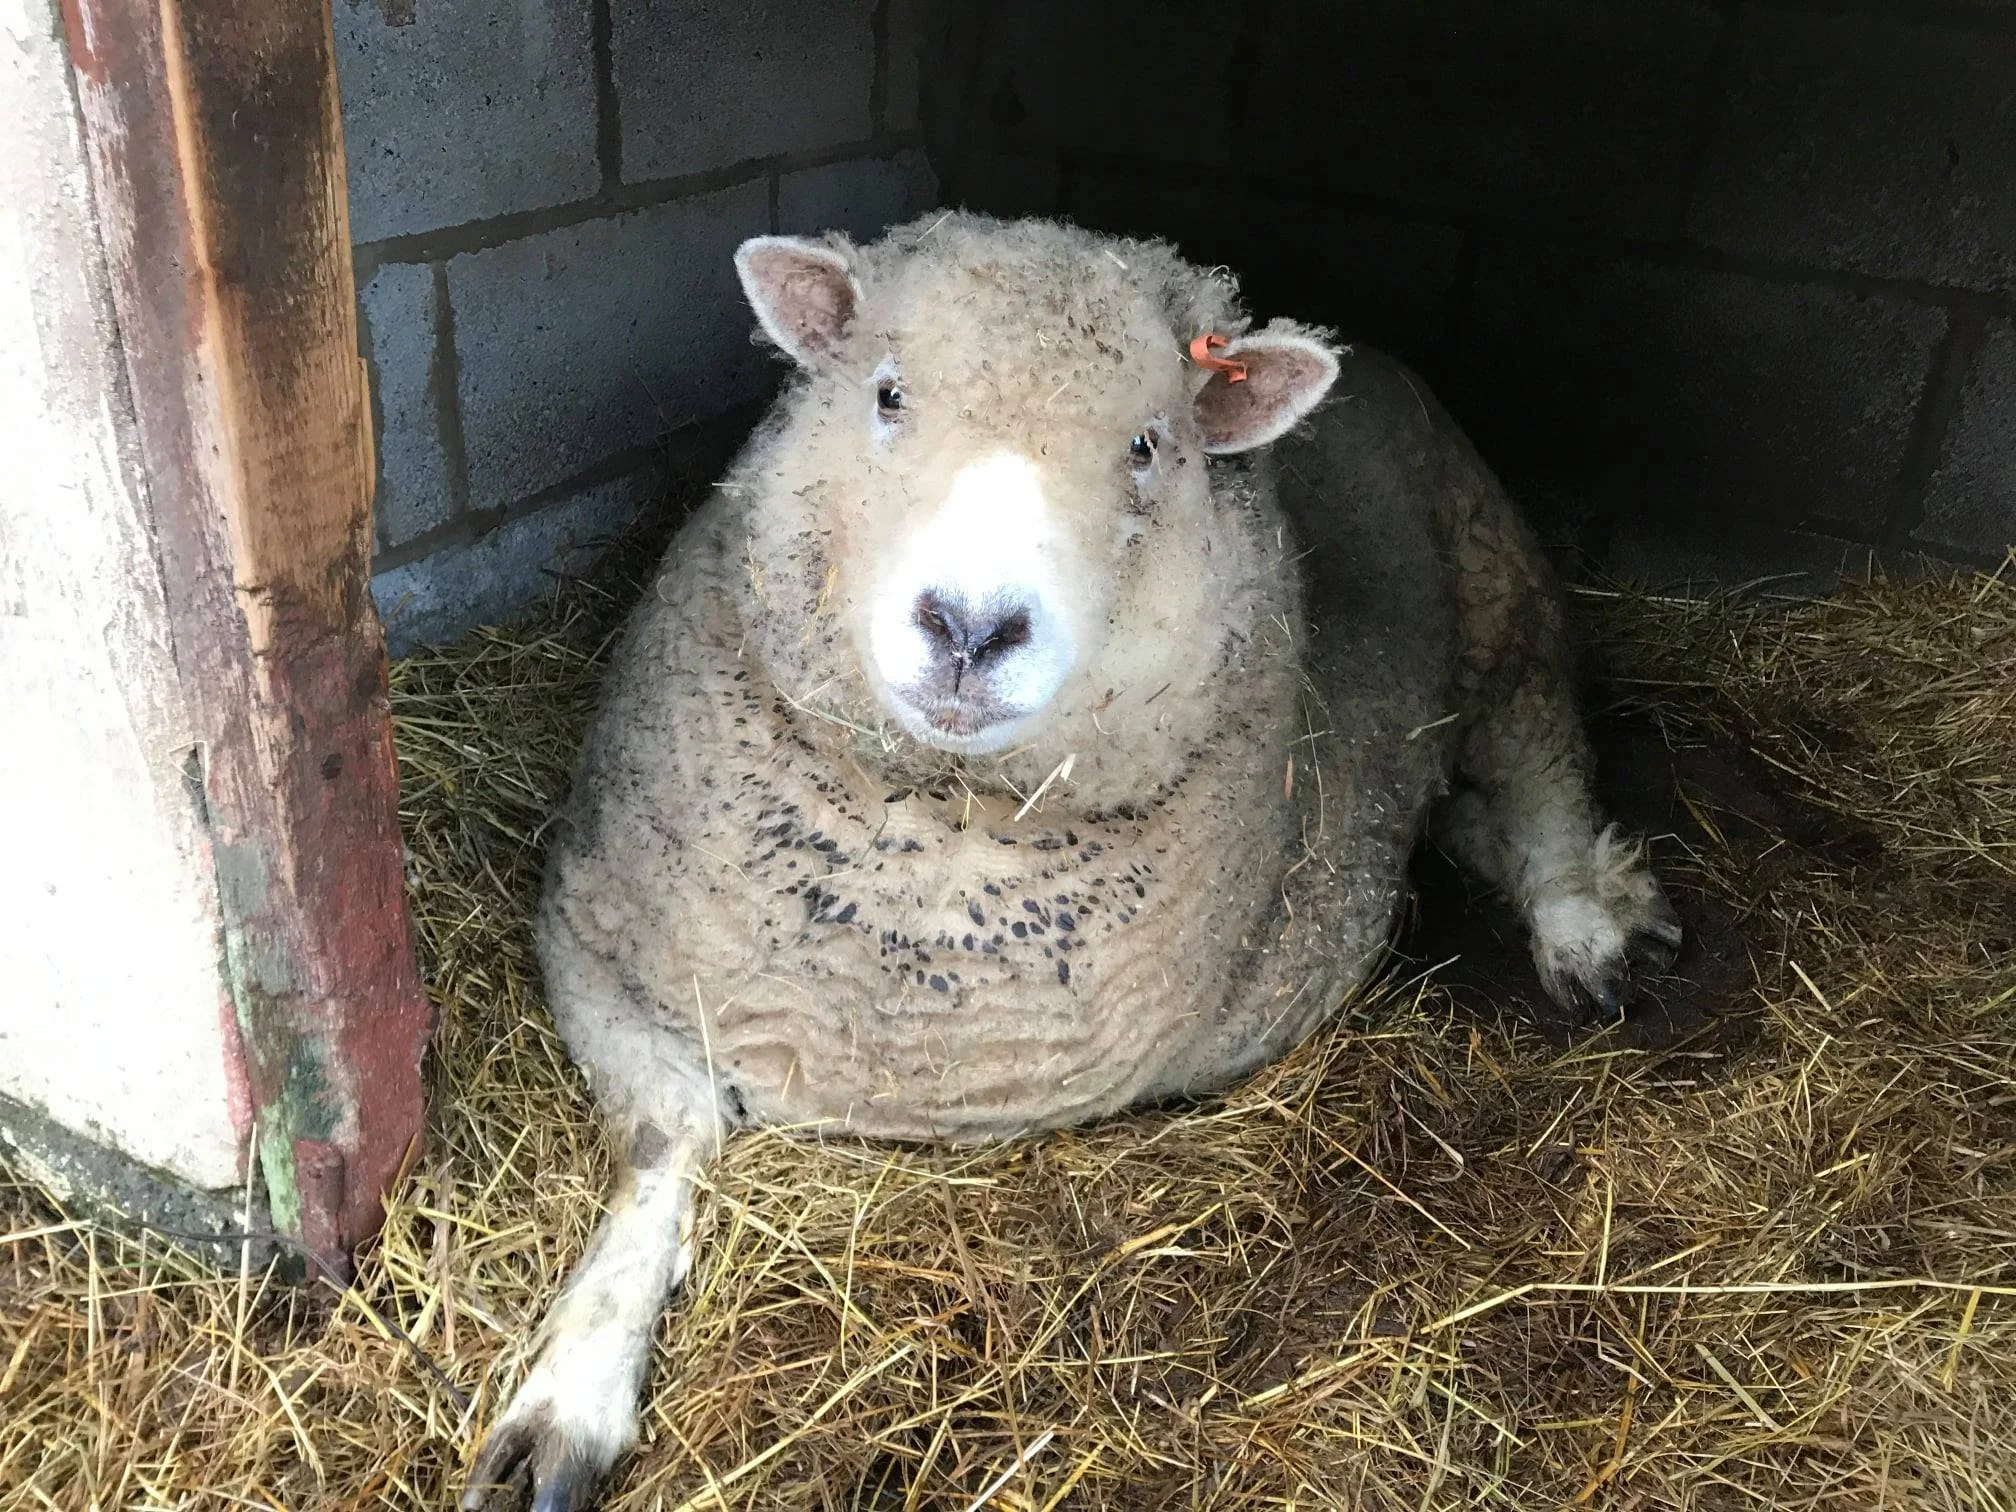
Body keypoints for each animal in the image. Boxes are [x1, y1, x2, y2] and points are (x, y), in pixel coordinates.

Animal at [461, 213, 1681, 1510]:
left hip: (1500, 580)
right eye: (886, 393)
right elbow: (668, 1142)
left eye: (1147, 446)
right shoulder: (591, 948)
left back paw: (1584, 922)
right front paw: (568, 1395)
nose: (969, 626)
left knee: (1542, 757)